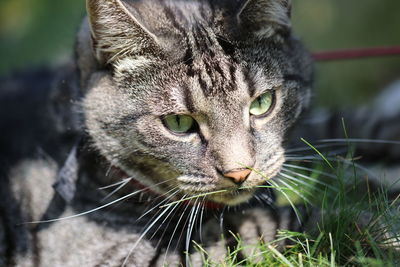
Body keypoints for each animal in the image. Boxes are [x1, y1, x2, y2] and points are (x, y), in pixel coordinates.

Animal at [0, 0, 398, 266]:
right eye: (179, 123)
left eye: (261, 103)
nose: (240, 172)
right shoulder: (112, 255)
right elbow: (263, 224)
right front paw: (373, 230)